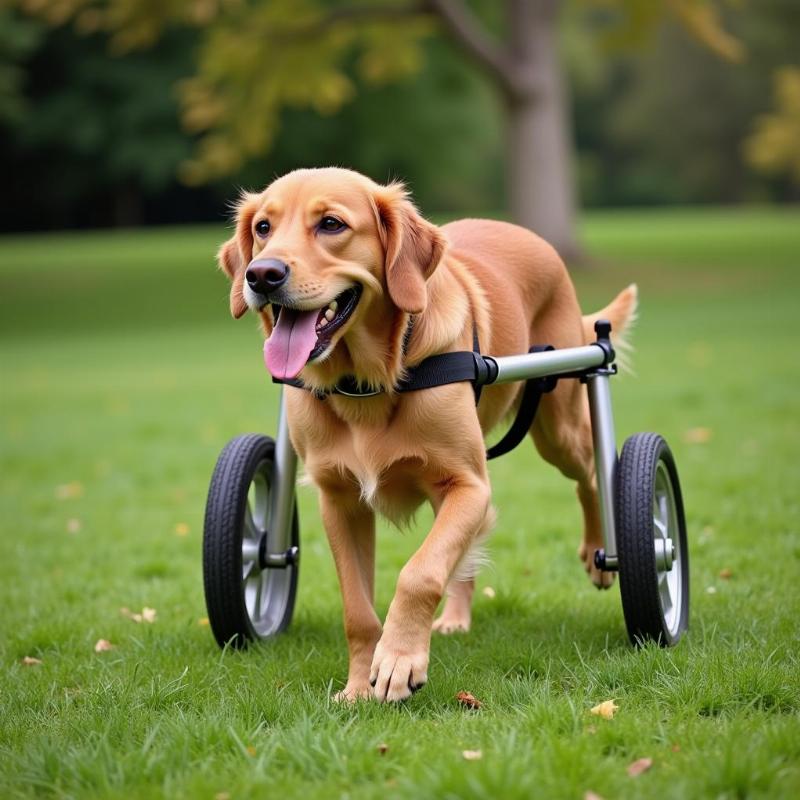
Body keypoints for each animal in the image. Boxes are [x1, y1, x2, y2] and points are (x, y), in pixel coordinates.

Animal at [219, 167, 636, 700]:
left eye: (331, 224)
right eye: (263, 228)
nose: (261, 275)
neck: (365, 381)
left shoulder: (468, 485)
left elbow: (418, 573)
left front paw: (399, 660)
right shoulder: (340, 499)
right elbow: (359, 607)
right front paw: (358, 685)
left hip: (559, 422)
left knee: (591, 476)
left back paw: (598, 554)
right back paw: (455, 618)